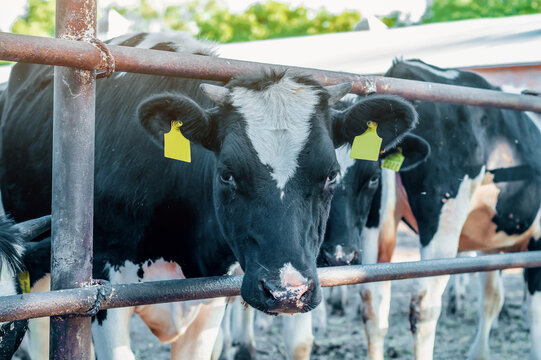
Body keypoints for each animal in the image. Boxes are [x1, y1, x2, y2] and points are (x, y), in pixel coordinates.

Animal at [358, 59, 540, 360]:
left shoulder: (490, 245)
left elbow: (491, 298)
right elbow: (533, 311)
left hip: (375, 223)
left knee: (373, 301)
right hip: (443, 225)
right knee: (424, 306)